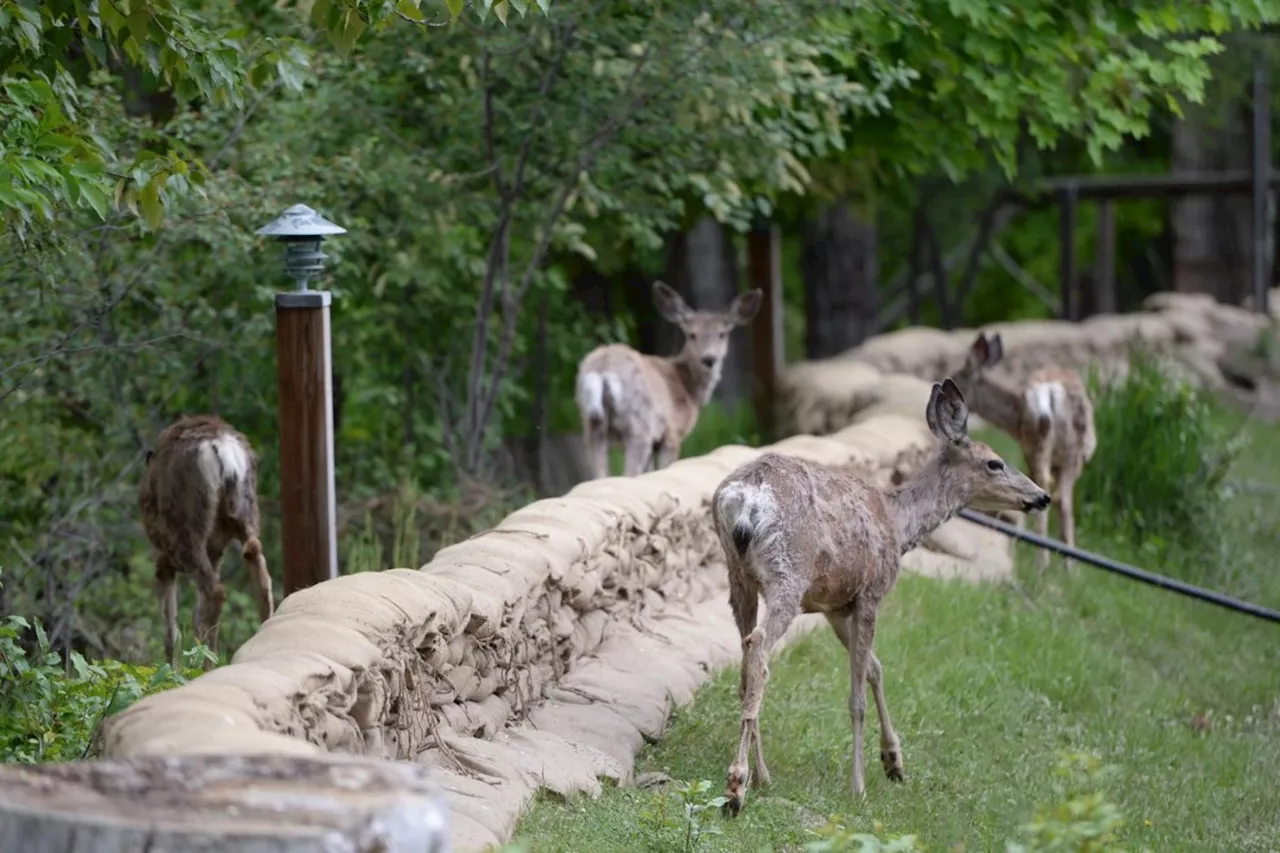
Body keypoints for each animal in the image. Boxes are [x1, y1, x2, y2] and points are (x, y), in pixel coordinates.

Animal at [137, 412, 272, 666]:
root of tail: (222, 447)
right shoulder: (216, 551)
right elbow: (195, 615)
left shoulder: (162, 560)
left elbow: (172, 628)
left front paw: (172, 668)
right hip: (244, 514)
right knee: (260, 573)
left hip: (186, 531)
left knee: (216, 592)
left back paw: (211, 662)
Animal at [578, 280, 757, 473]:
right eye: (692, 334)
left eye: (722, 334)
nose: (709, 359)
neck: (688, 388)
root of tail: (603, 368)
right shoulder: (672, 432)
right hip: (639, 424)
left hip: (593, 426)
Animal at [711, 376, 1049, 809]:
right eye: (995, 462)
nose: (1041, 496)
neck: (899, 525)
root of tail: (742, 498)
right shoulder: (871, 591)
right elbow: (856, 696)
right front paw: (859, 785)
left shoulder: (835, 605)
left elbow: (874, 667)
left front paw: (893, 761)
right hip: (788, 573)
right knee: (759, 647)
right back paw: (737, 785)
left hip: (739, 576)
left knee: (745, 657)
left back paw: (761, 775)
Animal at [952, 330, 1100, 563]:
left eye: (956, 379)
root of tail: (1048, 392)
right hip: (1064, 451)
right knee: (1059, 497)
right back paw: (1054, 562)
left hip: (1041, 444)